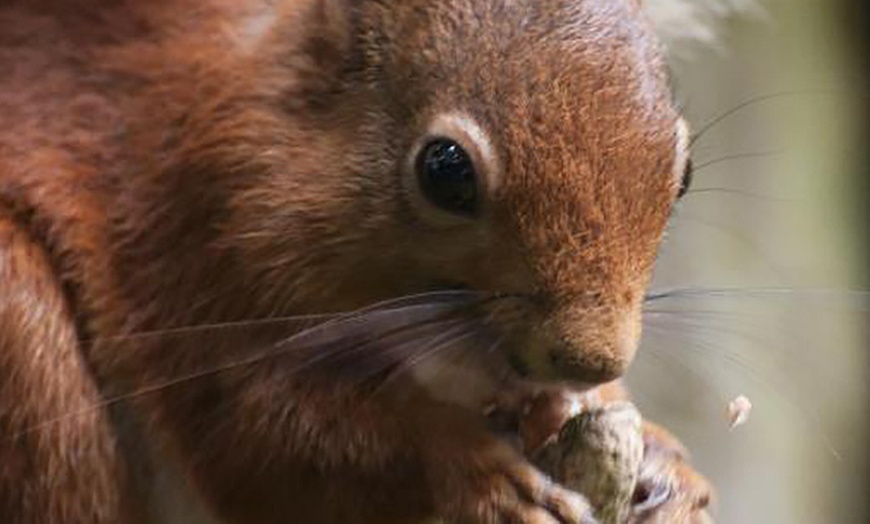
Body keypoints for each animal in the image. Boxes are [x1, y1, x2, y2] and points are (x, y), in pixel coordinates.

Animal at [1, 1, 716, 524]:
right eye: (445, 170)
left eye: (684, 174)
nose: (588, 360)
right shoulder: (193, 249)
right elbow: (266, 437)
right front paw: (483, 481)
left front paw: (661, 461)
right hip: (26, 342)